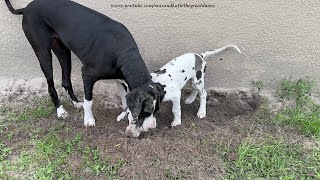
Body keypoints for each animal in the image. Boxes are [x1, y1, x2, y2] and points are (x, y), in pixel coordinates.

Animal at [4, 0, 165, 130]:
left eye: (156, 110)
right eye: (146, 112)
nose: (152, 127)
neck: (125, 53)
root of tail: (26, 8)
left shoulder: (120, 78)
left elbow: (124, 98)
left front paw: (125, 113)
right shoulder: (87, 74)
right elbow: (89, 101)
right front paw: (88, 120)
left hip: (63, 52)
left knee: (65, 81)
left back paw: (75, 103)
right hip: (43, 53)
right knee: (50, 85)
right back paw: (60, 110)